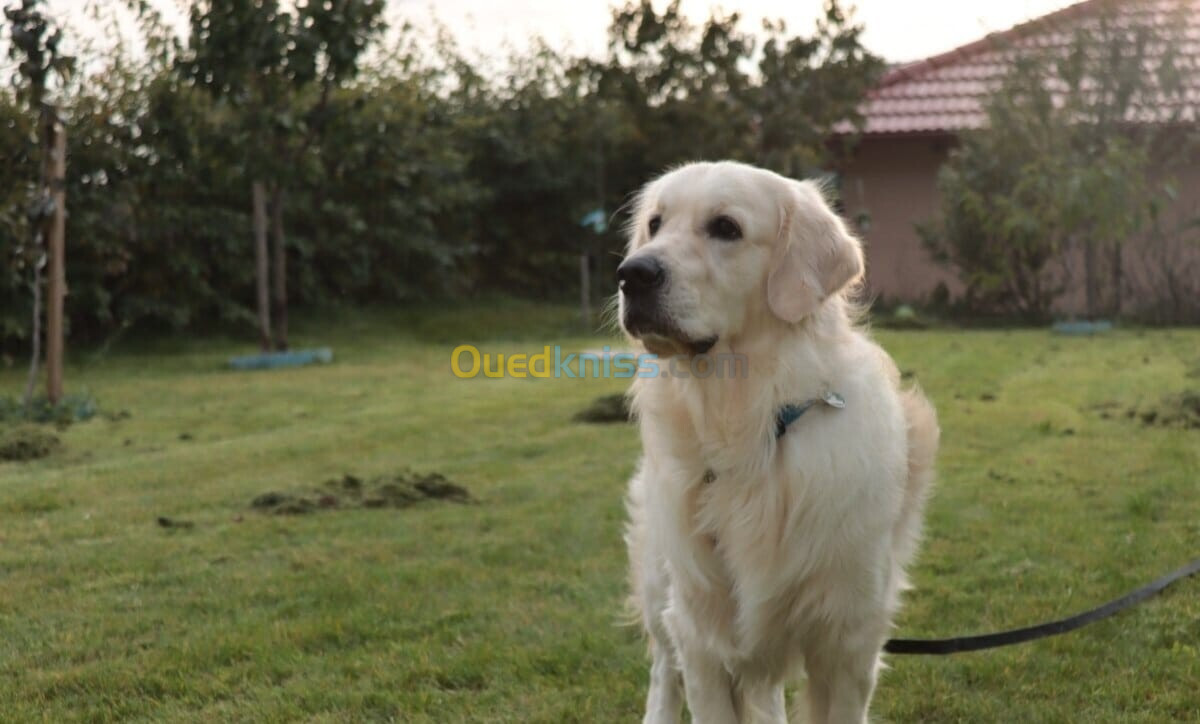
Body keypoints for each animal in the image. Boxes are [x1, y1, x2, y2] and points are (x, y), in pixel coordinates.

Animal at [619, 160, 936, 720]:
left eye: (726, 227)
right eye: (655, 224)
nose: (631, 274)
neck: (750, 429)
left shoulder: (848, 639)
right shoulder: (703, 634)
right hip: (663, 580)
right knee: (662, 668)